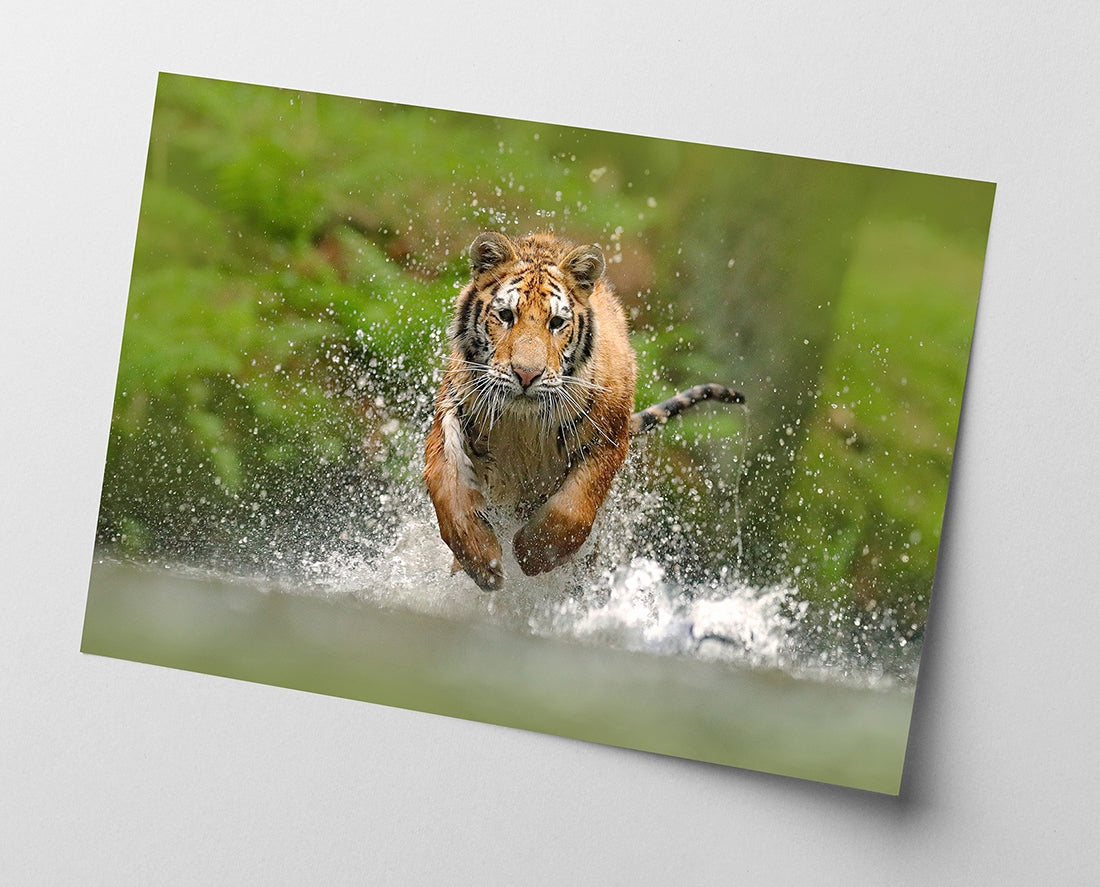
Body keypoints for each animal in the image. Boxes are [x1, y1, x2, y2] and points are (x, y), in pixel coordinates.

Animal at [423, 231, 744, 591]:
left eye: (556, 323)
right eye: (506, 316)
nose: (526, 374)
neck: (522, 423)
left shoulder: (610, 441)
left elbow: (573, 508)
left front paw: (532, 555)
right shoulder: (448, 419)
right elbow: (448, 491)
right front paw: (483, 562)